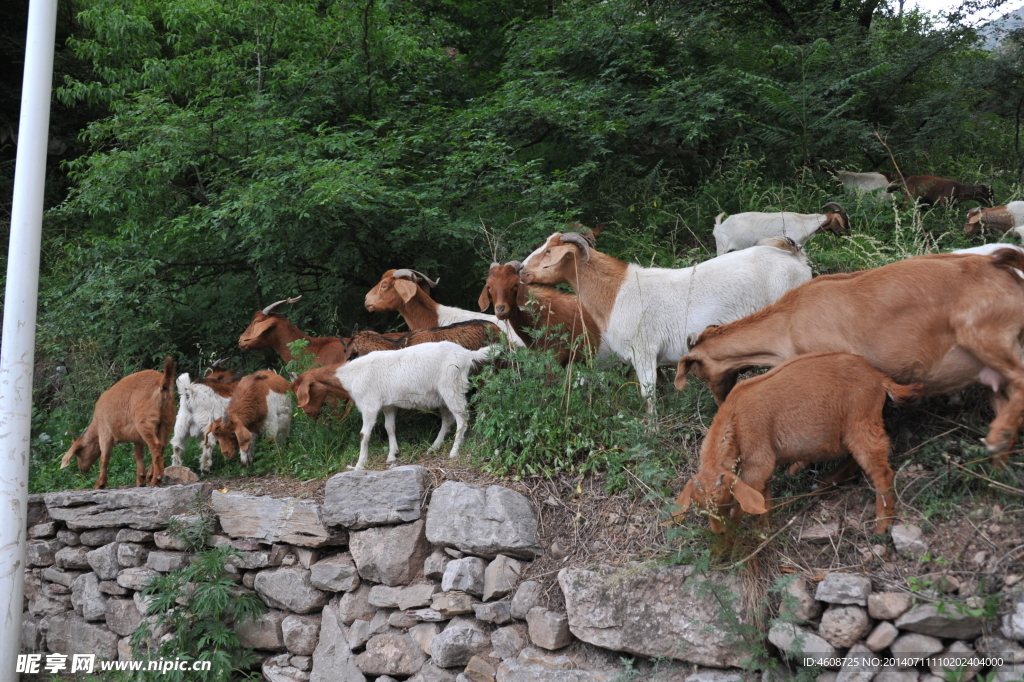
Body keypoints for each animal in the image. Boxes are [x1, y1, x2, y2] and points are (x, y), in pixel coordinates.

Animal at [524, 232, 811, 409]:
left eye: (549, 251)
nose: (521, 269)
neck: (616, 293)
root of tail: (795, 257)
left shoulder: (643, 351)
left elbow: (648, 395)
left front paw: (650, 432)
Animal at [671, 352, 921, 532]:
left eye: (724, 500)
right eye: (699, 508)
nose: (718, 532)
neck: (734, 417)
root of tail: (879, 378)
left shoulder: (757, 459)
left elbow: (746, 502)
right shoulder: (762, 470)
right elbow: (765, 498)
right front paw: (764, 527)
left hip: (862, 421)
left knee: (881, 471)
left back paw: (882, 524)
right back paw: (825, 481)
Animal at [675, 249, 1024, 462]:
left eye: (699, 372)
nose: (720, 400)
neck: (787, 322)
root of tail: (1003, 267)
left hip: (984, 336)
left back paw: (997, 438)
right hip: (993, 372)